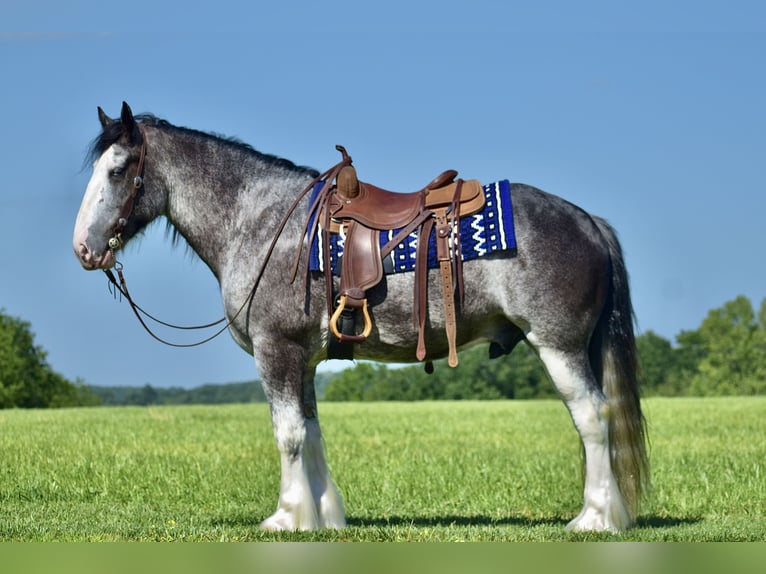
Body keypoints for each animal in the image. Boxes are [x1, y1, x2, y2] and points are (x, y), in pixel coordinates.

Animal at [72, 103, 652, 536]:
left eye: (118, 171)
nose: (83, 248)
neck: (259, 222)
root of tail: (587, 221)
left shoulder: (277, 351)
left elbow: (288, 435)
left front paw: (287, 517)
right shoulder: (303, 360)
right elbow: (311, 432)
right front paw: (323, 516)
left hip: (558, 346)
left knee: (593, 416)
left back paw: (596, 518)